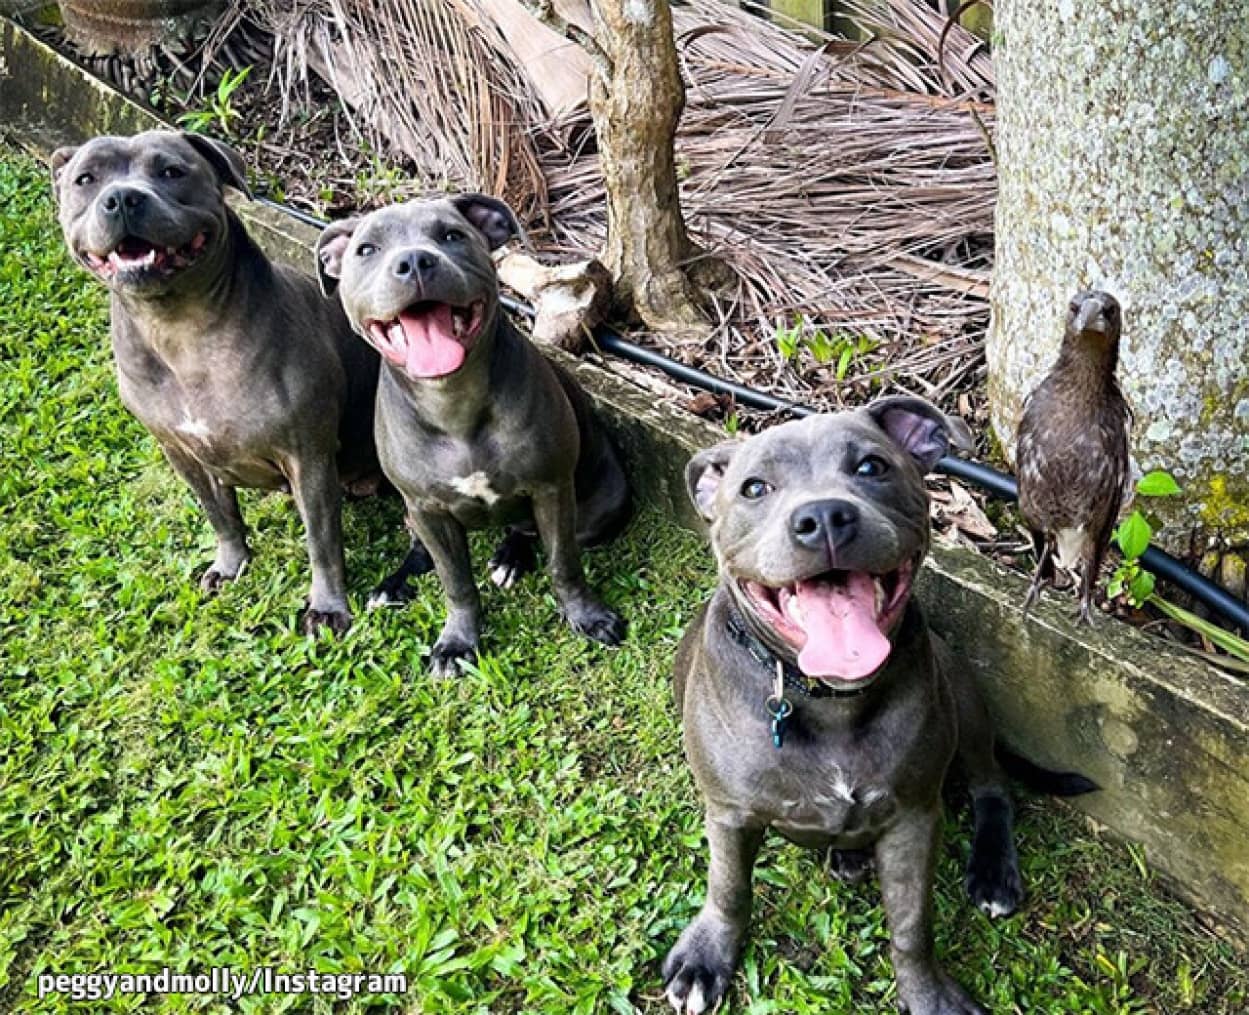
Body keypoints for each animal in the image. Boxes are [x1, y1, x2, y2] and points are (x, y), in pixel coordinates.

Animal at [52, 130, 394, 629]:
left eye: (172, 171)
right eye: (86, 179)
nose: (122, 198)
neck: (180, 328)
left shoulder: (307, 458)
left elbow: (322, 541)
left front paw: (328, 606)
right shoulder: (182, 454)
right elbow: (220, 515)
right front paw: (231, 565)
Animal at [317, 196, 629, 674]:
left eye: (452, 235)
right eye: (367, 249)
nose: (414, 261)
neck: (452, 403)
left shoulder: (552, 488)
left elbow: (563, 564)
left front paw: (587, 616)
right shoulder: (427, 509)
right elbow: (456, 582)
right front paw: (457, 641)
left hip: (601, 504)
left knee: (528, 530)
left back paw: (509, 558)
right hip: (415, 513)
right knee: (422, 550)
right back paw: (393, 585)